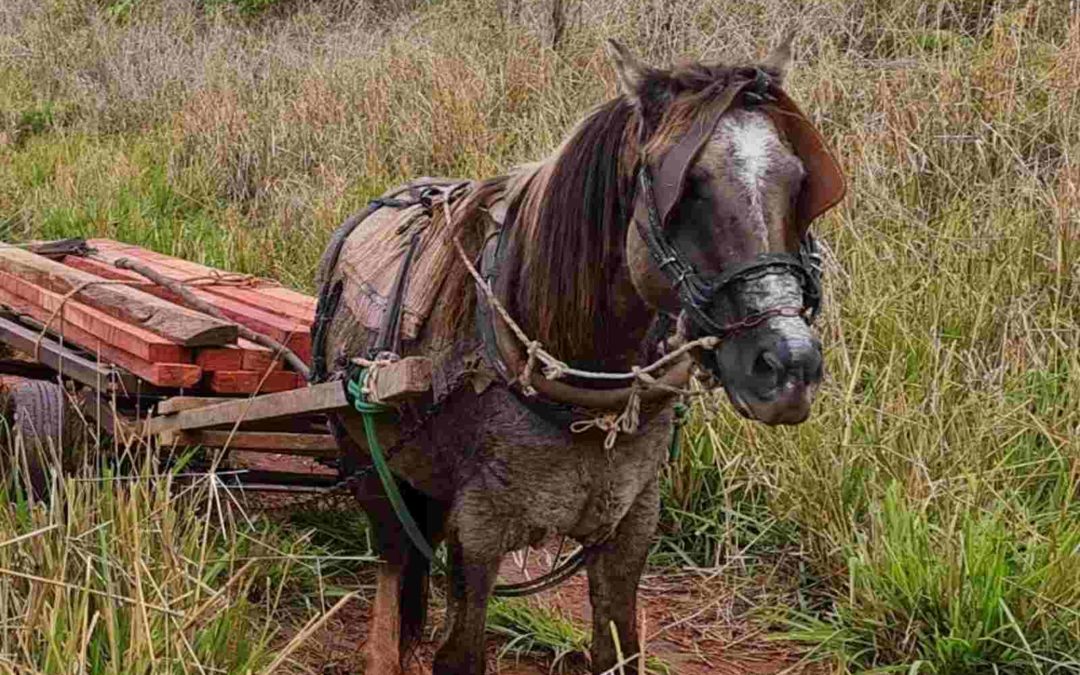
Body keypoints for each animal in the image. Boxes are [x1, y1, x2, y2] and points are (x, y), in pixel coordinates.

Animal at [311, 35, 842, 673]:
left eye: (797, 181)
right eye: (689, 186)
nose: (788, 366)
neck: (586, 397)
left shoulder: (631, 524)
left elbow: (618, 647)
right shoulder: (479, 533)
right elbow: (460, 651)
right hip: (366, 461)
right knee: (393, 570)